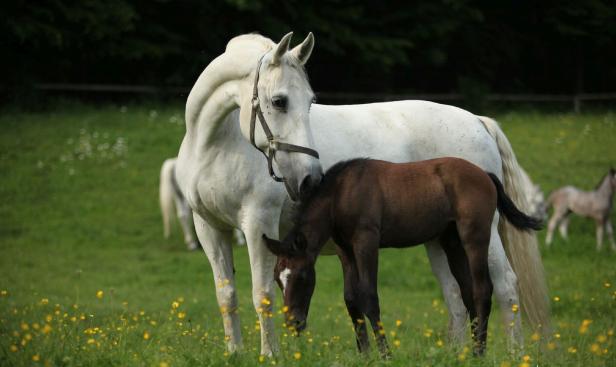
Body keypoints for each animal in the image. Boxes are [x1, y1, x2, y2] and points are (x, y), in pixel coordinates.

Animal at [262, 157, 540, 356]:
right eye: (278, 279)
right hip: (451, 242)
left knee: (483, 289)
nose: (293, 323)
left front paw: (385, 354)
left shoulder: (366, 241)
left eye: (302, 276)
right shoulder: (346, 250)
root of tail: (485, 174)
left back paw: (479, 353)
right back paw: (472, 352)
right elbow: (351, 299)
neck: (341, 193)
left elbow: (369, 296)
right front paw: (365, 355)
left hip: (475, 236)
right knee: (469, 291)